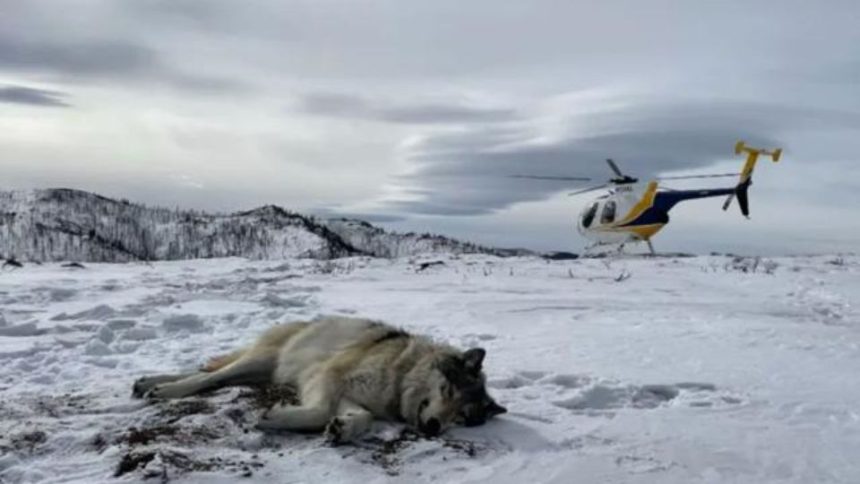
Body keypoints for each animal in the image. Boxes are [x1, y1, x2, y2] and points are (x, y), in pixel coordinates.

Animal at [132, 316, 508, 444]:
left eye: (462, 417)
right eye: (447, 390)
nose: (432, 428)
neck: (400, 374)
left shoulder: (349, 396)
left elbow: (361, 416)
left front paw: (343, 428)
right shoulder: (326, 377)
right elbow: (320, 410)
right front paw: (275, 417)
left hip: (261, 370)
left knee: (208, 374)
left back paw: (148, 382)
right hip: (263, 360)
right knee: (209, 376)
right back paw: (164, 388)